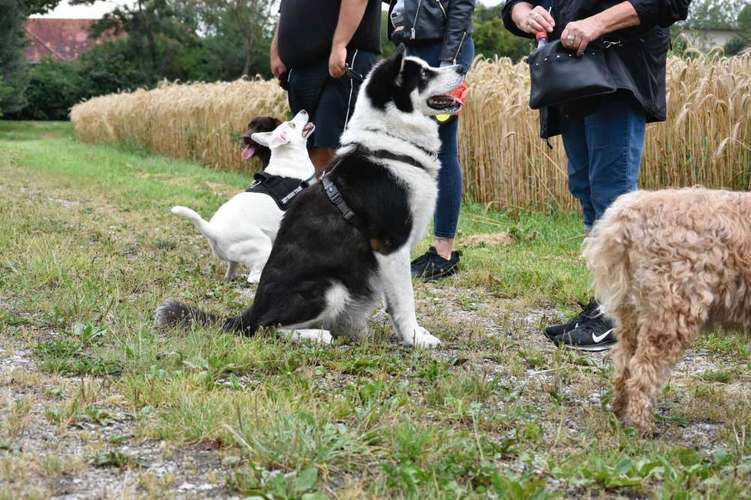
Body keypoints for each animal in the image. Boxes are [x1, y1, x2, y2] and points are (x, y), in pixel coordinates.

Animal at [172, 111, 316, 284]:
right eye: (292, 124)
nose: (303, 111)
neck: (289, 162)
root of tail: (214, 231)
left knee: (231, 269)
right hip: (263, 245)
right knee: (253, 277)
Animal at [584, 188, 751, 434]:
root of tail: (628, 214)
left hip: (633, 311)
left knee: (624, 362)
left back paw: (620, 409)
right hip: (673, 310)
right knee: (643, 368)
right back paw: (641, 424)